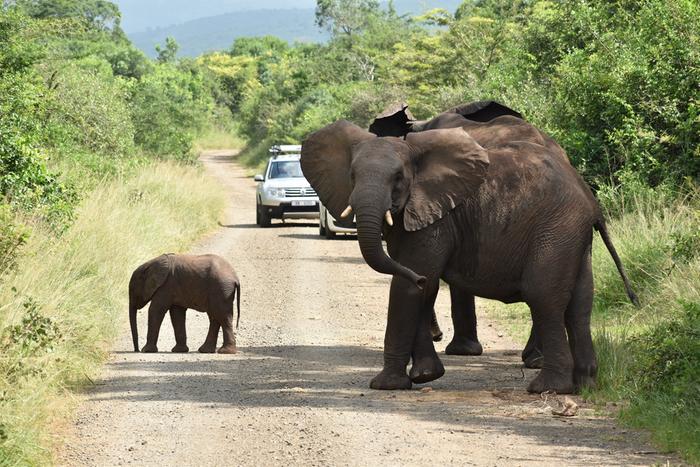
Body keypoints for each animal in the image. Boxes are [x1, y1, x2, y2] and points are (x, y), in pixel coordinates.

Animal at [298, 115, 636, 394]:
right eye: (352, 176)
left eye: (398, 178)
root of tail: (590, 200)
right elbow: (421, 284)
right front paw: (425, 376)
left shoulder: (435, 215)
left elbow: (409, 284)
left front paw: (385, 385)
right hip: (574, 236)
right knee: (580, 304)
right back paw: (585, 384)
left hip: (556, 228)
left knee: (544, 296)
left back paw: (548, 388)